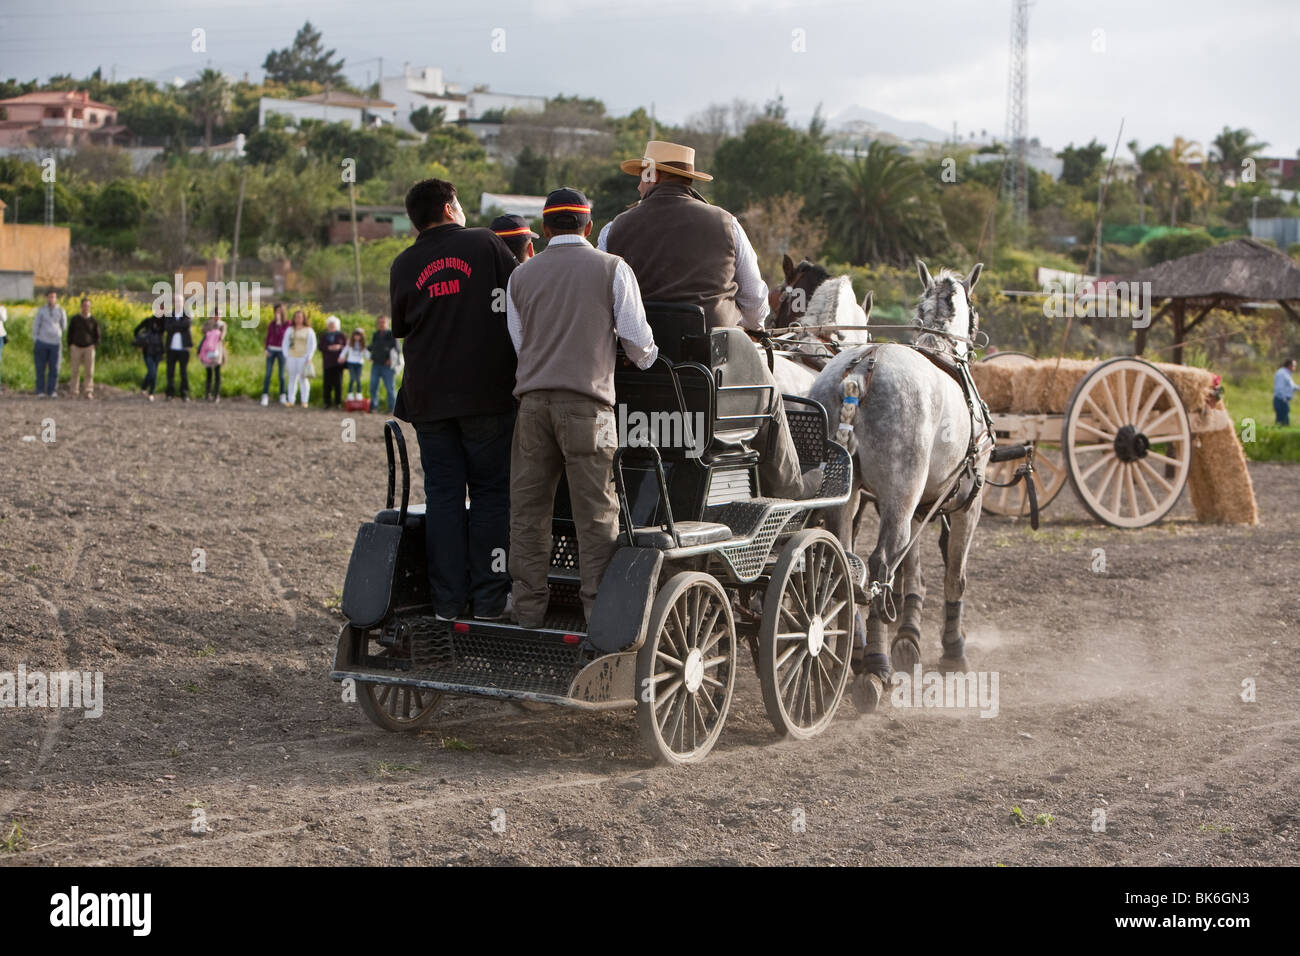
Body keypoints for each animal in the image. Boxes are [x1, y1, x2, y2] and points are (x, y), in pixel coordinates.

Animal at [806, 261, 987, 712]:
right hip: (898, 496)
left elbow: (913, 573)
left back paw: (855, 653)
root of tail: (861, 368)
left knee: (846, 564)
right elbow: (953, 576)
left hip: (851, 497)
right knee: (878, 566)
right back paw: (875, 668)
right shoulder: (966, 505)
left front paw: (909, 639)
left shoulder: (920, 504)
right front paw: (953, 650)